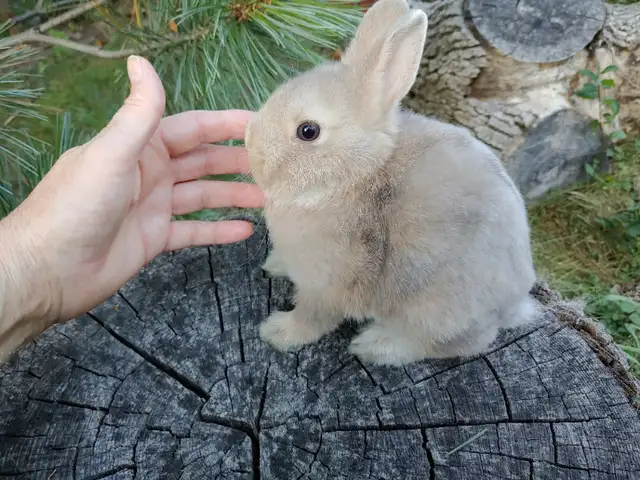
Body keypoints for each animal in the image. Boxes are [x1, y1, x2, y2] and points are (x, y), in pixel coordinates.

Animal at [244, 0, 538, 366]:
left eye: (308, 131)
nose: (248, 143)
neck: (357, 175)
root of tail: (513, 304)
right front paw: (273, 265)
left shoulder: (326, 287)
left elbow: (312, 319)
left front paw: (277, 333)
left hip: (436, 311)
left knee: (448, 344)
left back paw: (375, 345)